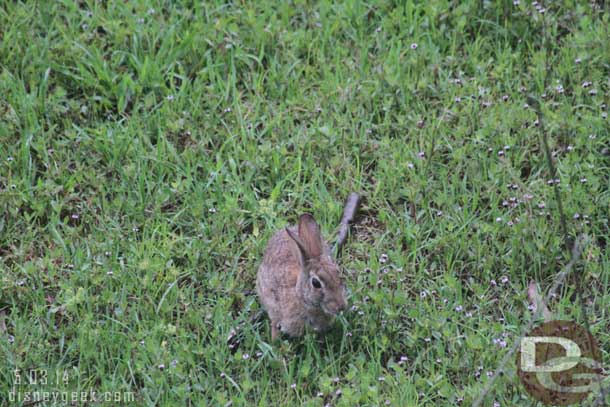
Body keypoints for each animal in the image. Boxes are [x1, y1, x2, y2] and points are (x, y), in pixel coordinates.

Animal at [255, 214, 346, 342]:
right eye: (316, 283)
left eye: (338, 274)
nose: (341, 306)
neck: (301, 297)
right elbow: (274, 323)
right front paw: (275, 341)